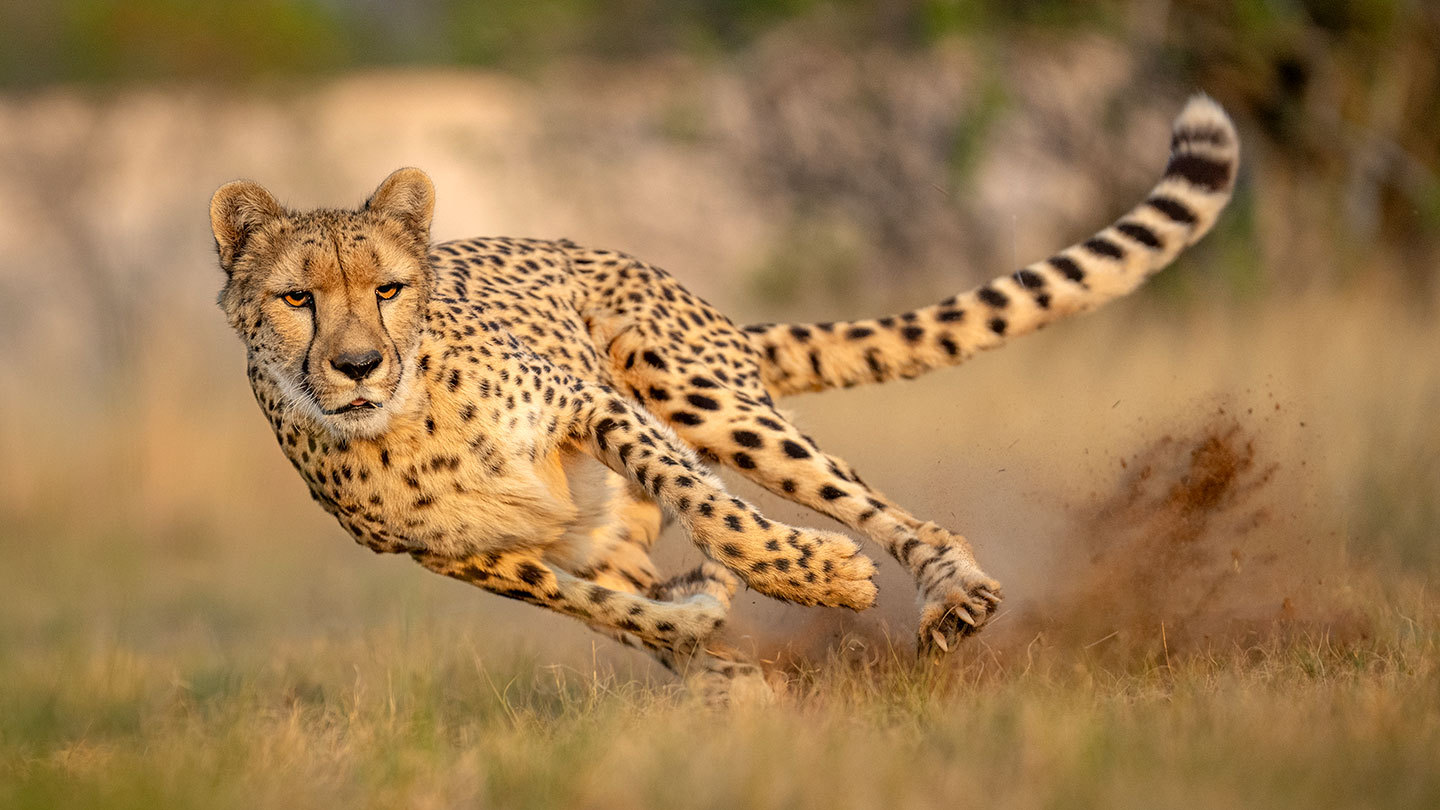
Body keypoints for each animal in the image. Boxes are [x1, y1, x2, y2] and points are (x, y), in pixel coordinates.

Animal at [209, 95, 1238, 700]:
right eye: (298, 298)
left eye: (387, 289)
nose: (356, 365)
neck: (405, 420)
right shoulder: (467, 558)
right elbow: (610, 610)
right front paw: (710, 642)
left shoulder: (597, 407)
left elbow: (716, 511)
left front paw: (813, 577)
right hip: (608, 512)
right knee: (626, 579)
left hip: (694, 386)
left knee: (873, 507)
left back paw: (950, 591)